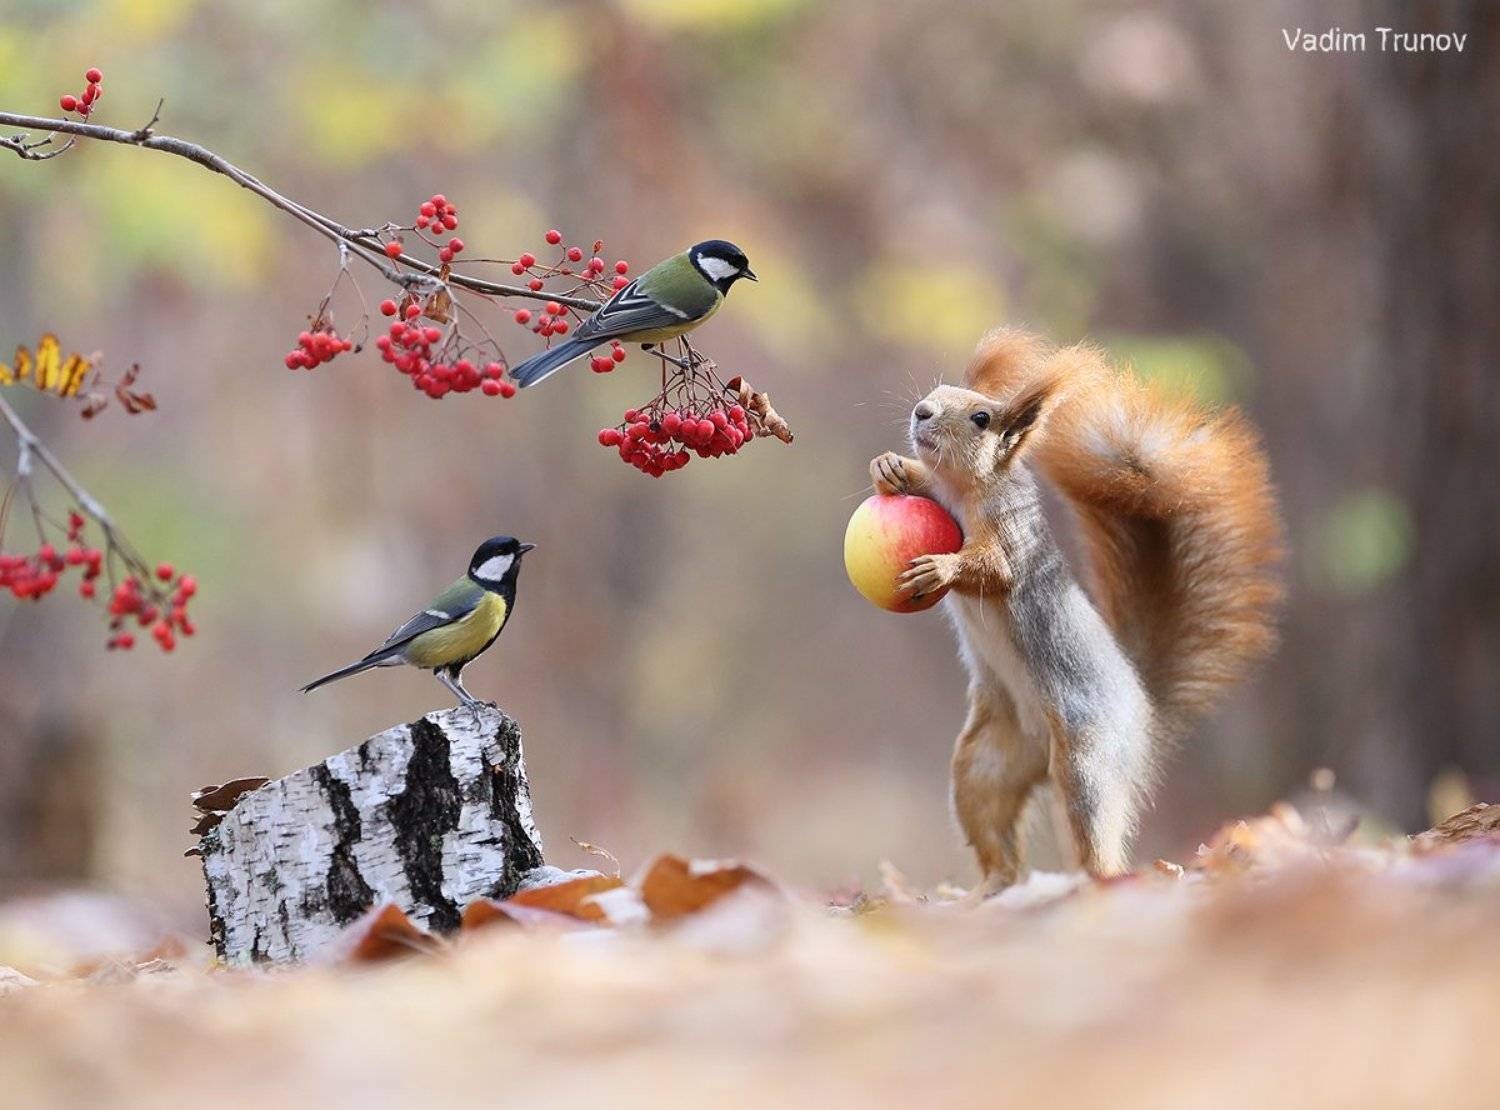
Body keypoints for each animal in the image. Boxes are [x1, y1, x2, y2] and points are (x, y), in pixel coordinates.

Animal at [870, 329, 1283, 888]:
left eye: (982, 418)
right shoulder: (936, 489)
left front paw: (941, 568)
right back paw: (990, 889)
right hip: (988, 762)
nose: (922, 410)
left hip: (1088, 765)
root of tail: (1141, 707)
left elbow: (993, 570)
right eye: (938, 391)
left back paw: (1097, 882)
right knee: (993, 827)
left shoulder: (1011, 537)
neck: (959, 489)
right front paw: (890, 468)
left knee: (1095, 841)